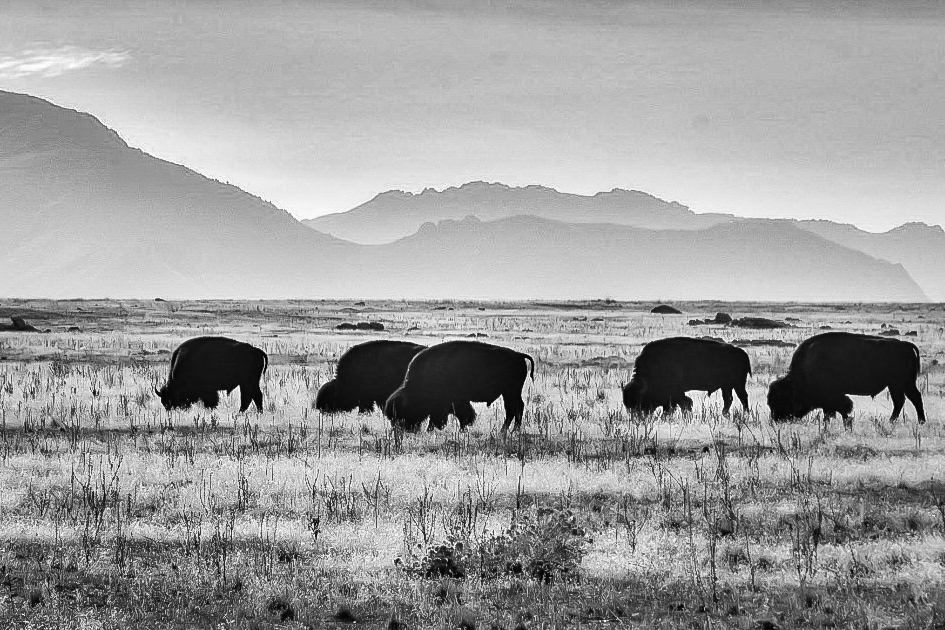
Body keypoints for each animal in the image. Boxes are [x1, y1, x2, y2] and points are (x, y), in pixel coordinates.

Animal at [384, 340, 535, 434]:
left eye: (400, 414)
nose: (403, 430)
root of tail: (518, 355)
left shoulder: (451, 402)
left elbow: (459, 415)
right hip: (509, 392)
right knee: (515, 408)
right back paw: (509, 430)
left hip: (511, 391)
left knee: (514, 408)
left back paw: (509, 430)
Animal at [622, 337, 752, 416]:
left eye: (639, 402)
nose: (639, 417)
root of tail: (742, 353)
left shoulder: (676, 393)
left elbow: (682, 404)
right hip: (726, 386)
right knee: (728, 399)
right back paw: (724, 413)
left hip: (738, 384)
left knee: (742, 397)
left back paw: (745, 413)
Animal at [767, 332, 925, 424]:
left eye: (780, 400)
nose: (776, 419)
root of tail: (904, 345)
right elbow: (832, 411)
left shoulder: (833, 395)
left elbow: (841, 408)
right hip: (897, 385)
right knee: (902, 400)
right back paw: (895, 421)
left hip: (901, 384)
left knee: (912, 398)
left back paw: (918, 421)